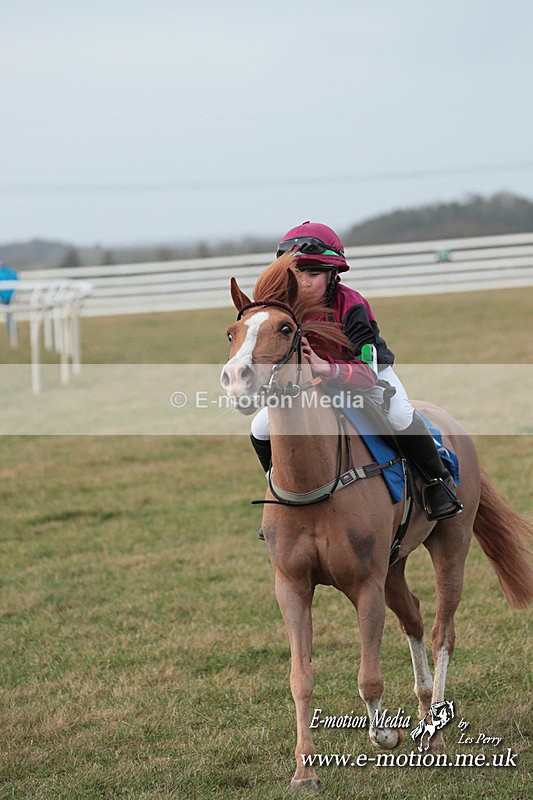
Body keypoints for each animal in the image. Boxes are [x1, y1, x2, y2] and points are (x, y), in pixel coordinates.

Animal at [220, 255, 533, 791]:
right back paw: (425, 712)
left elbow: (369, 677)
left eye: (285, 328)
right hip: (394, 565)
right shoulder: (292, 587)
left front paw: (385, 735)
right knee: (414, 615)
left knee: (442, 631)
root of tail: (448, 421)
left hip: (450, 547)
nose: (238, 379)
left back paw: (434, 735)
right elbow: (300, 678)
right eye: (232, 332)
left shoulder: (365, 585)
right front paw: (304, 770)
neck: (317, 481)